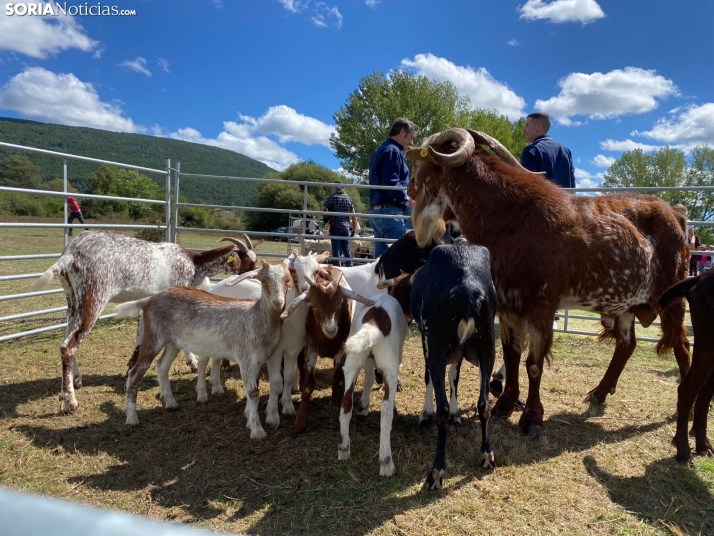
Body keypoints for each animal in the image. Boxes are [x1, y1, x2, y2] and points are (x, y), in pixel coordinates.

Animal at [282, 266, 376, 434]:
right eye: (313, 305)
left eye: (339, 304)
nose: (331, 330)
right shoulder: (311, 349)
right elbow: (308, 384)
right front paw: (300, 420)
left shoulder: (341, 349)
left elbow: (339, 378)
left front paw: (339, 405)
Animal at [406, 129, 688, 440]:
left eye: (422, 160)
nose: (409, 190)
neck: (509, 219)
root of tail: (676, 214)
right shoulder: (508, 306)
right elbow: (512, 355)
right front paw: (505, 404)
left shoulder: (541, 306)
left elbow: (533, 364)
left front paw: (532, 418)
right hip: (626, 305)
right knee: (627, 344)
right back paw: (599, 393)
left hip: (673, 297)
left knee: (682, 344)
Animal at [408, 244, 498, 490]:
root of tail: (467, 289)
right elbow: (455, 376)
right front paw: (458, 415)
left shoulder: (428, 341)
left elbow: (429, 377)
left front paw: (425, 413)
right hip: (488, 347)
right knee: (484, 403)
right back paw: (487, 455)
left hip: (437, 344)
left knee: (443, 410)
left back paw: (437, 472)